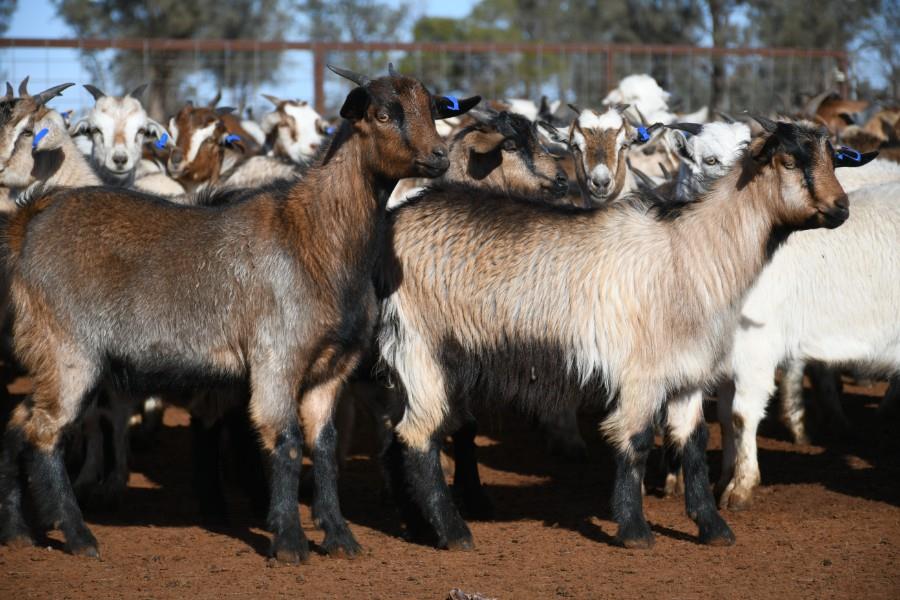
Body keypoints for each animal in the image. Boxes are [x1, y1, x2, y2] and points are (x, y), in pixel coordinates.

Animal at [0, 64, 479, 563]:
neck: (314, 236)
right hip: (67, 351)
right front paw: (289, 543)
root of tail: (29, 220)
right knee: (44, 433)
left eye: (432, 110)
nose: (438, 158)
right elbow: (285, 443)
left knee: (17, 423)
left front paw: (340, 538)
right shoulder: (276, 359)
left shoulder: (331, 370)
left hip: (51, 356)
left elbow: (324, 448)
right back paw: (79, 536)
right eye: (383, 114)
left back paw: (17, 530)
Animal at [376, 117, 852, 551]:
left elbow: (693, 444)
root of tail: (398, 217)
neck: (692, 251)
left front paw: (714, 528)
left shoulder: (689, 374)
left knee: (397, 435)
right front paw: (635, 531)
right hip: (421, 347)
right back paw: (454, 533)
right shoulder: (642, 373)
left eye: (832, 159)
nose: (841, 208)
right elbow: (636, 441)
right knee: (419, 436)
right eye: (787, 161)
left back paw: (418, 526)